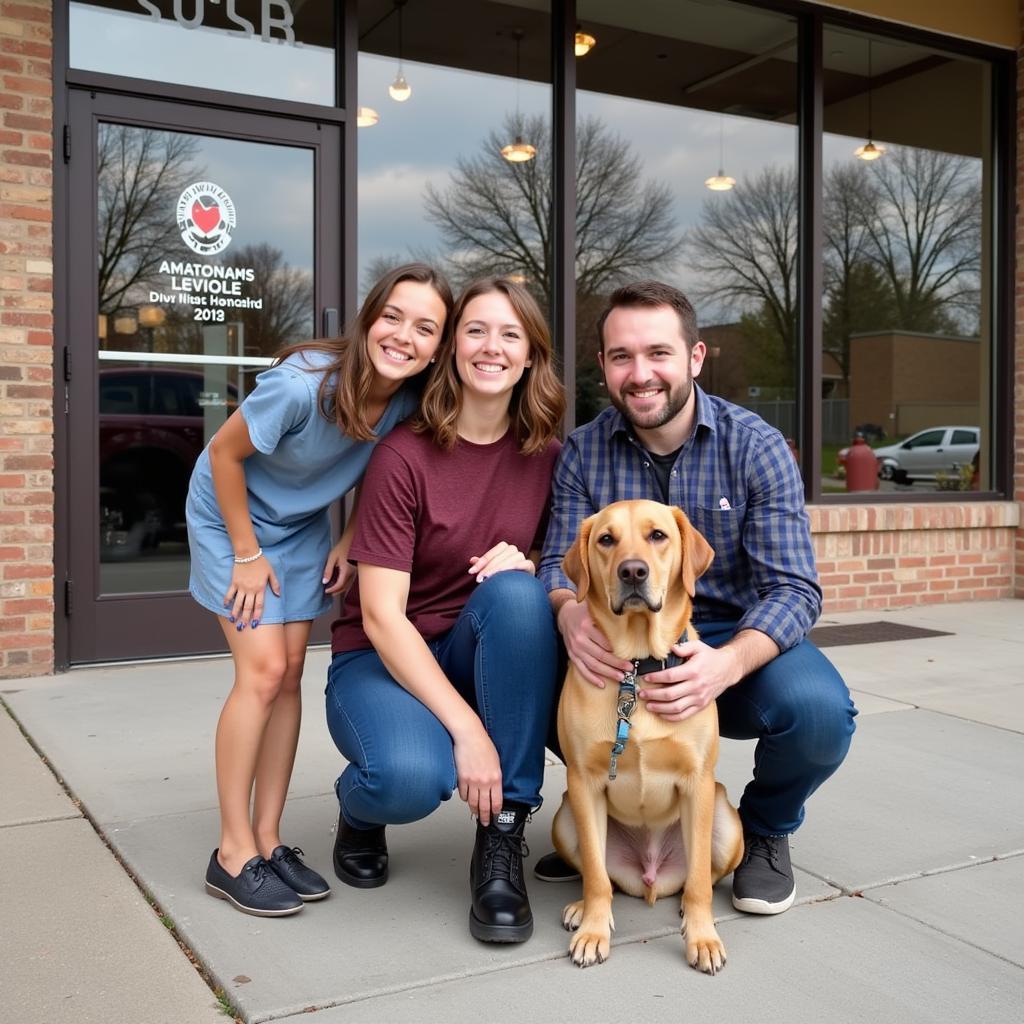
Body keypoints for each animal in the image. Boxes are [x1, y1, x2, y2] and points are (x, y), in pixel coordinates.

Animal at [552, 499, 745, 970]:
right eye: (607, 539)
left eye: (657, 535)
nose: (633, 572)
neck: (638, 669)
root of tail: (651, 874)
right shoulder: (583, 783)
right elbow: (596, 877)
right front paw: (593, 930)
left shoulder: (697, 783)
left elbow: (699, 882)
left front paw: (702, 937)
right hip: (566, 817)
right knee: (600, 875)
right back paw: (584, 909)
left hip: (727, 823)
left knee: (699, 877)